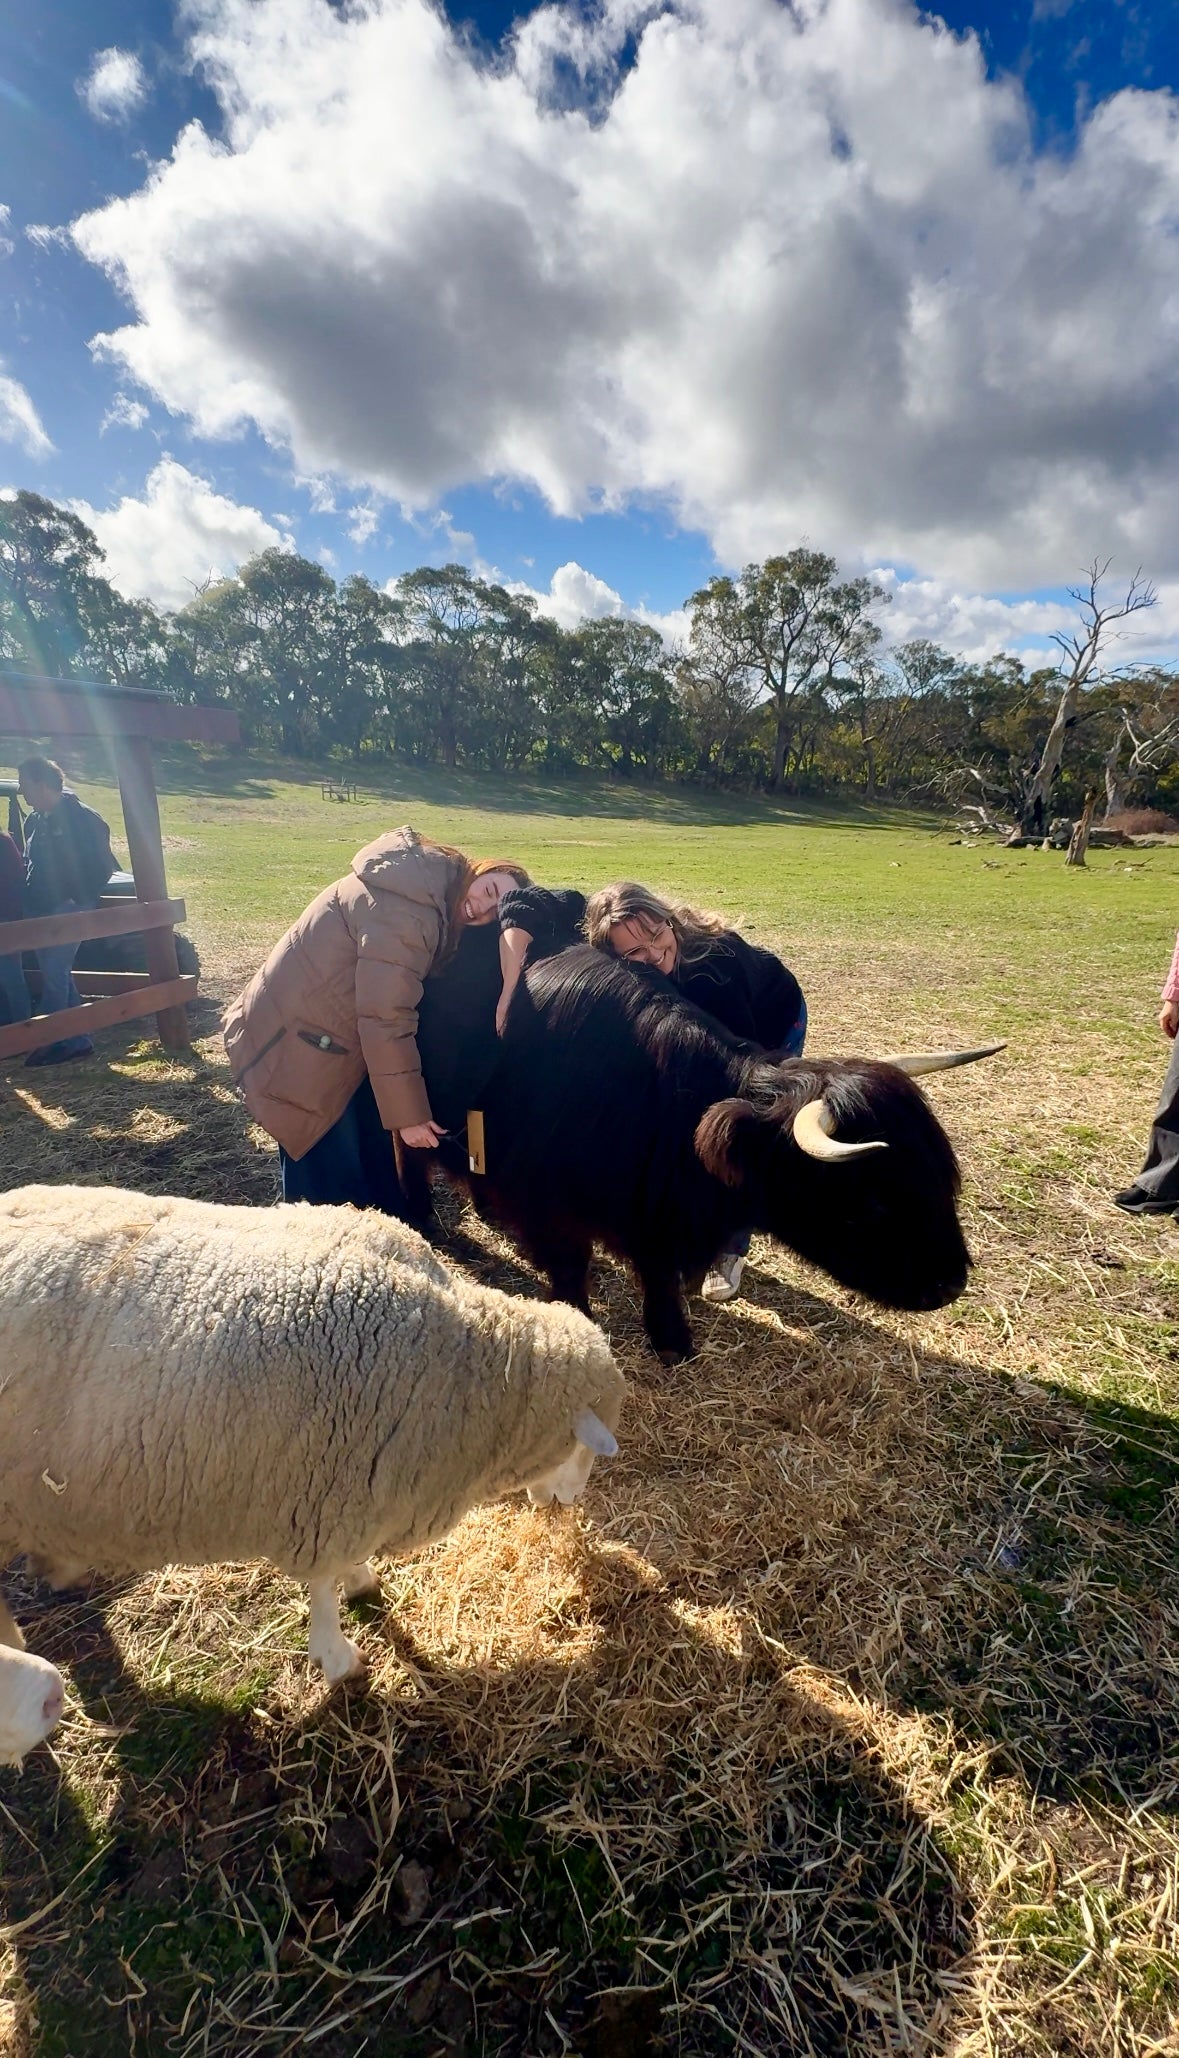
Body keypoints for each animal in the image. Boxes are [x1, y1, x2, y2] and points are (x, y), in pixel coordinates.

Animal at [415, 946, 1000, 1363]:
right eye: (873, 1201)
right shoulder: (549, 1209)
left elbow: (656, 1273)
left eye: (940, 1175)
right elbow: (570, 1270)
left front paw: (671, 1339)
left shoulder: (653, 1218)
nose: (951, 1283)